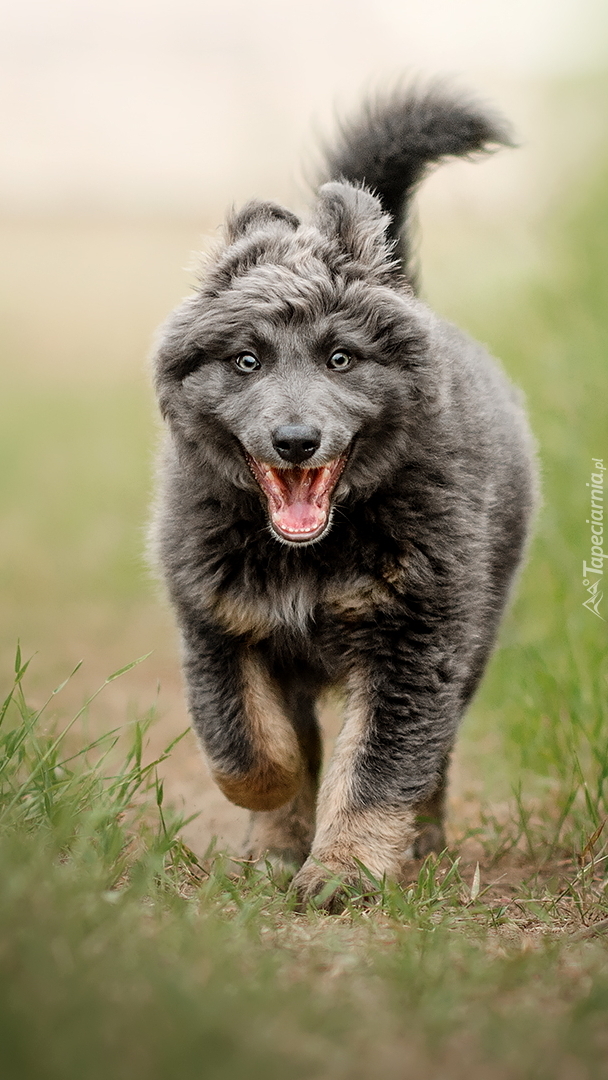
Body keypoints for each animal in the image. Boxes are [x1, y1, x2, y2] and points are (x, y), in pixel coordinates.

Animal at [152, 86, 537, 911]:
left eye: (340, 358)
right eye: (246, 361)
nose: (296, 440)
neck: (310, 553)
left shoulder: (415, 641)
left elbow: (378, 766)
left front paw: (343, 870)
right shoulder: (216, 622)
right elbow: (248, 744)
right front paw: (278, 812)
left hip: (474, 631)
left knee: (434, 754)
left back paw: (419, 839)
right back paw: (274, 844)